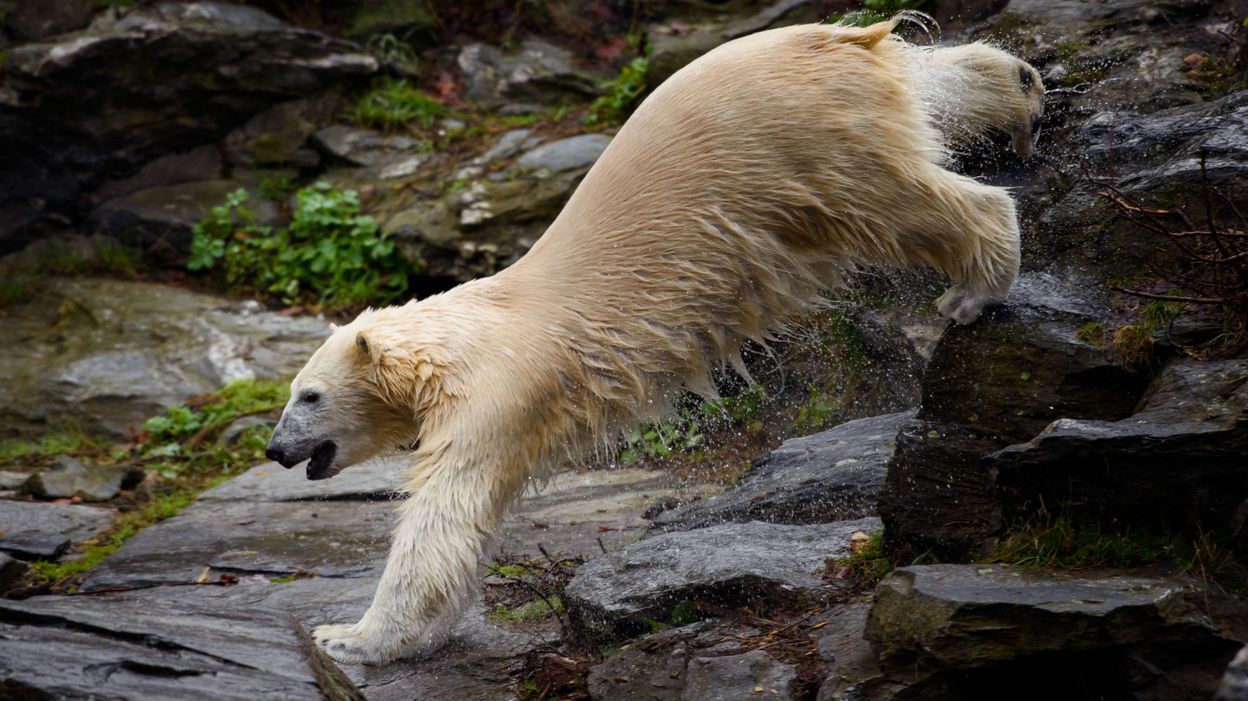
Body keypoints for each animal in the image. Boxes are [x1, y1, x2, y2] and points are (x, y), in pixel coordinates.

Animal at [268, 17, 1048, 658]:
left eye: (308, 396)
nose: (275, 450)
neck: (469, 328)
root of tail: (839, 40)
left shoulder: (497, 390)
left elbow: (442, 514)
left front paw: (352, 636)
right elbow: (473, 521)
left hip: (804, 142)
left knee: (900, 200)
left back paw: (975, 285)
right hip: (849, 106)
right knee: (934, 88)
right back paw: (1020, 88)